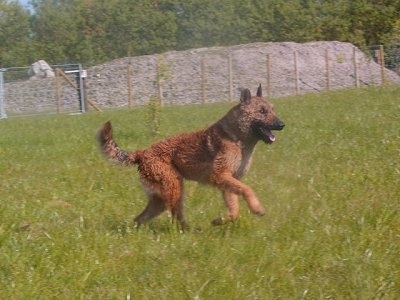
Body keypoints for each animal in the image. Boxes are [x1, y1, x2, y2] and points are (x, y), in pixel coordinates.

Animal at [97, 84, 284, 230]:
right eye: (262, 111)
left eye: (272, 110)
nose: (282, 124)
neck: (237, 138)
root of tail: (142, 153)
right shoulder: (220, 175)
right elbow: (247, 189)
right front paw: (257, 208)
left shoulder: (228, 181)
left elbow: (234, 210)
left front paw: (220, 220)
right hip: (175, 189)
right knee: (175, 217)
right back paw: (189, 232)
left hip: (161, 199)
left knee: (141, 218)